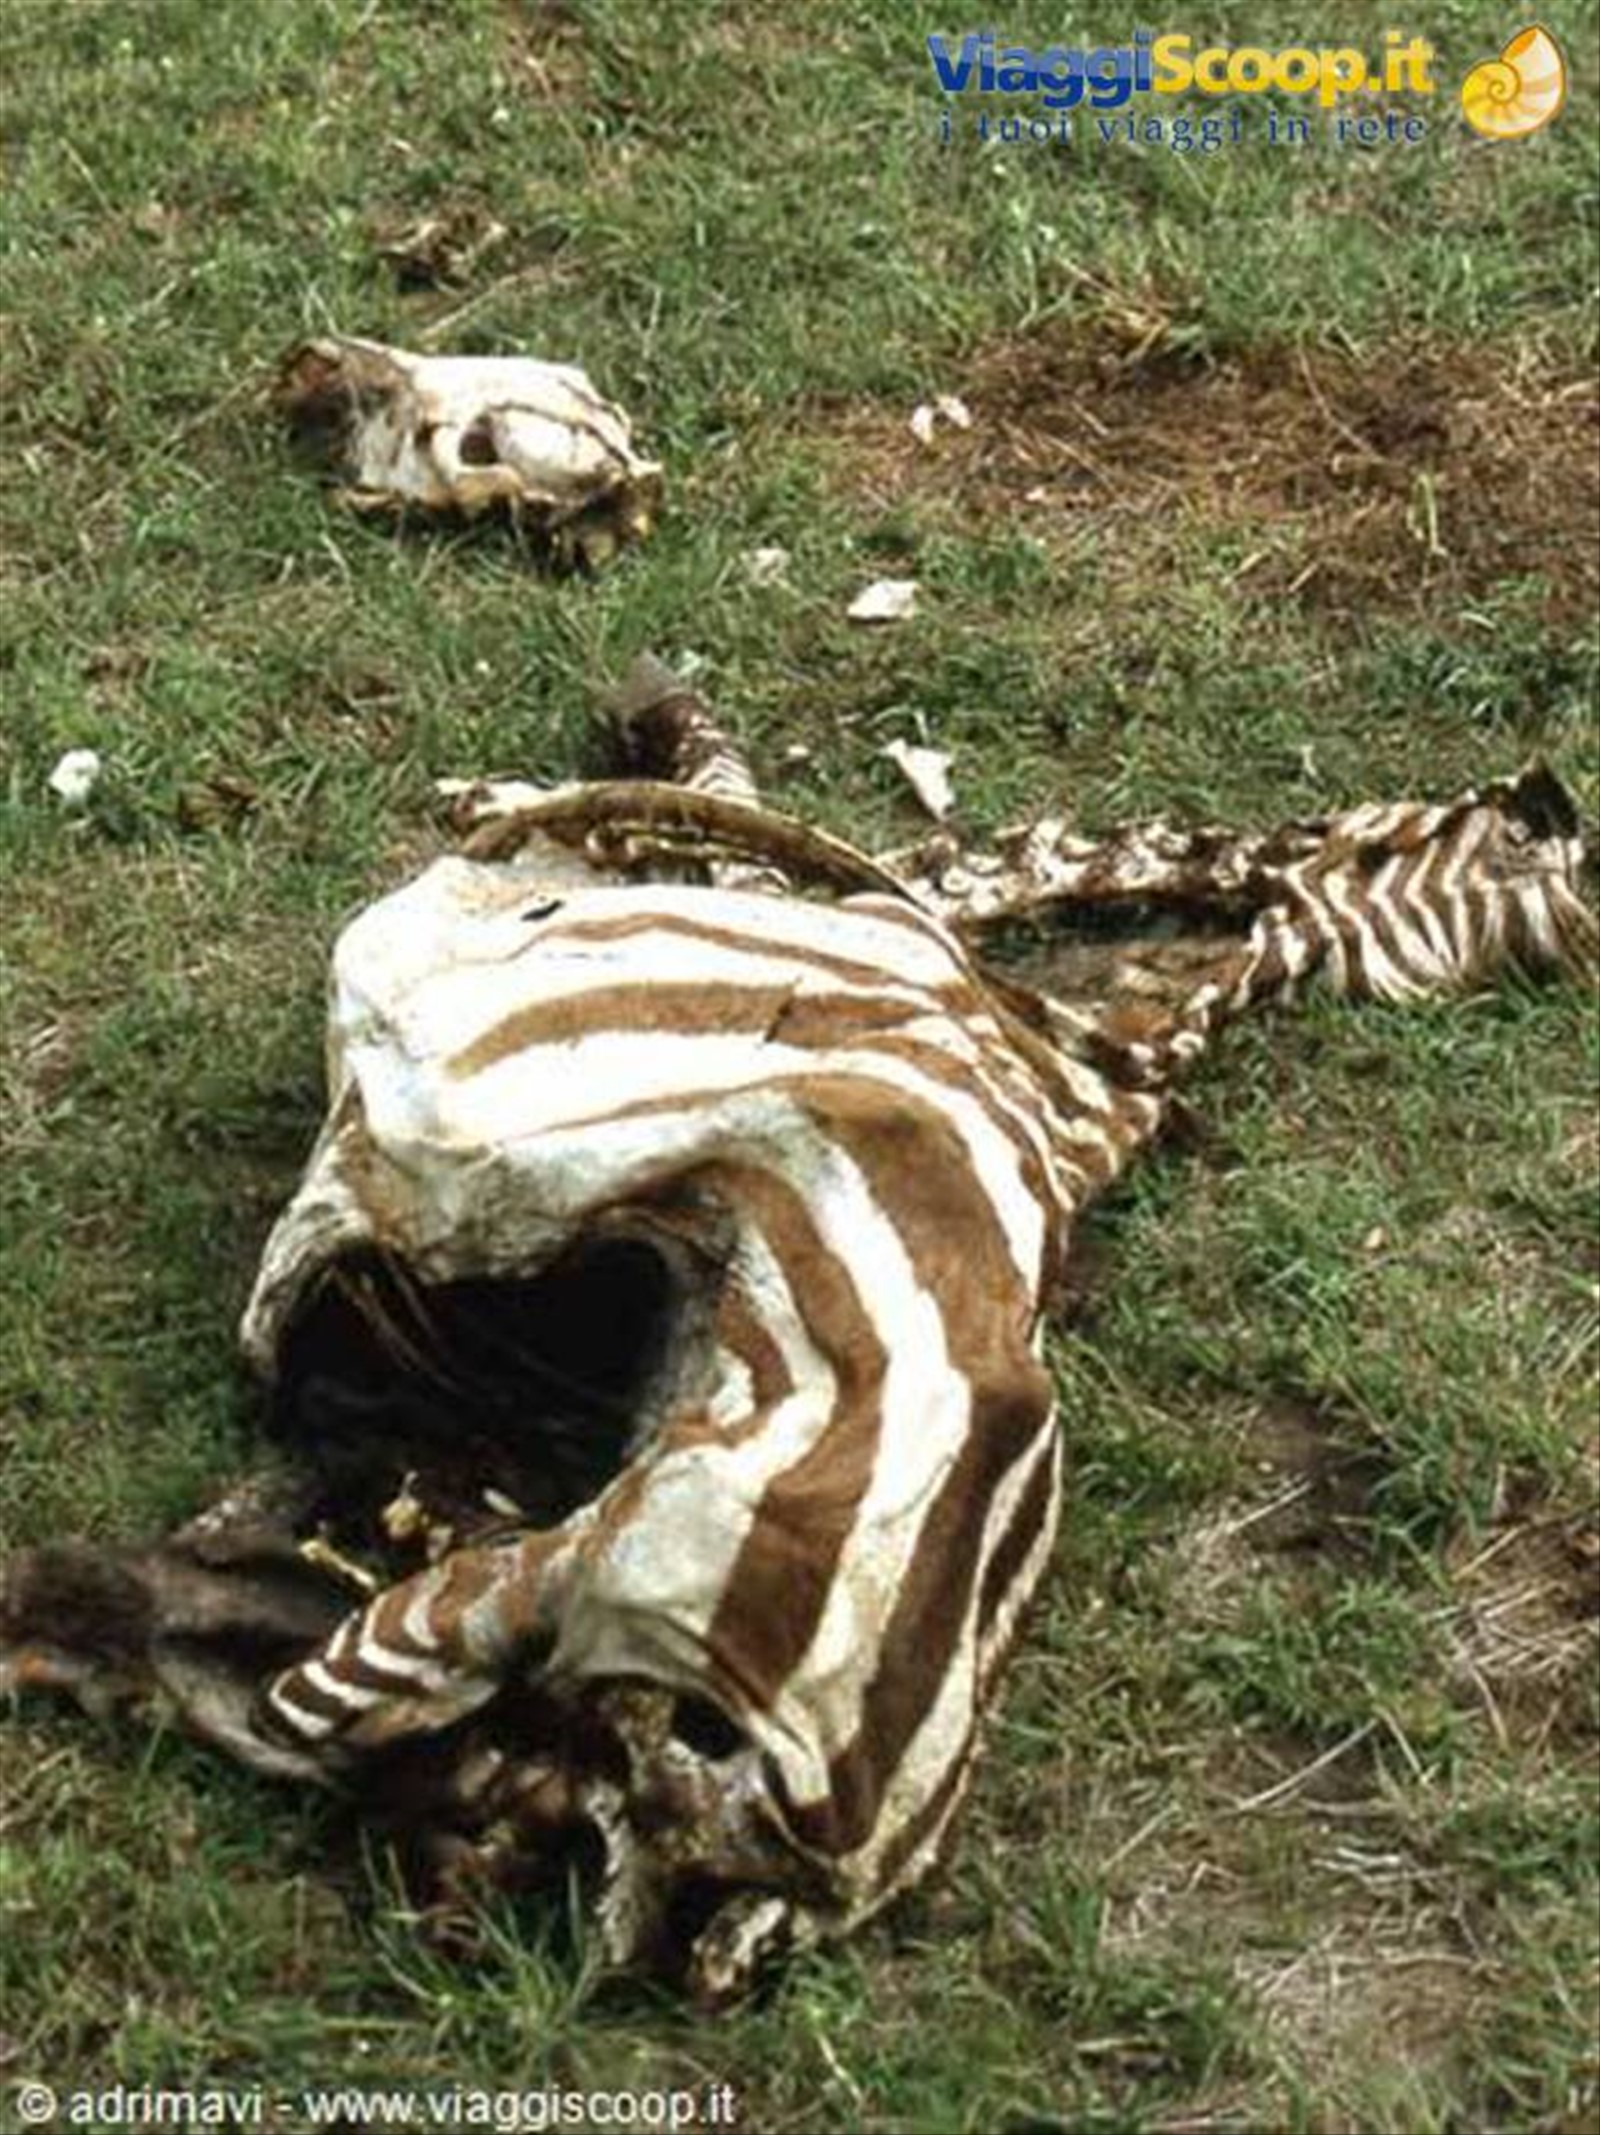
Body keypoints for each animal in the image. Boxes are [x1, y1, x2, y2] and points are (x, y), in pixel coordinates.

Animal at [2, 657, 1593, 2003]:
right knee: (245, 1658)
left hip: (534, 1590)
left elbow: (929, 844)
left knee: (249, 1667)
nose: (1547, 805)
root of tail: (803, 1851)